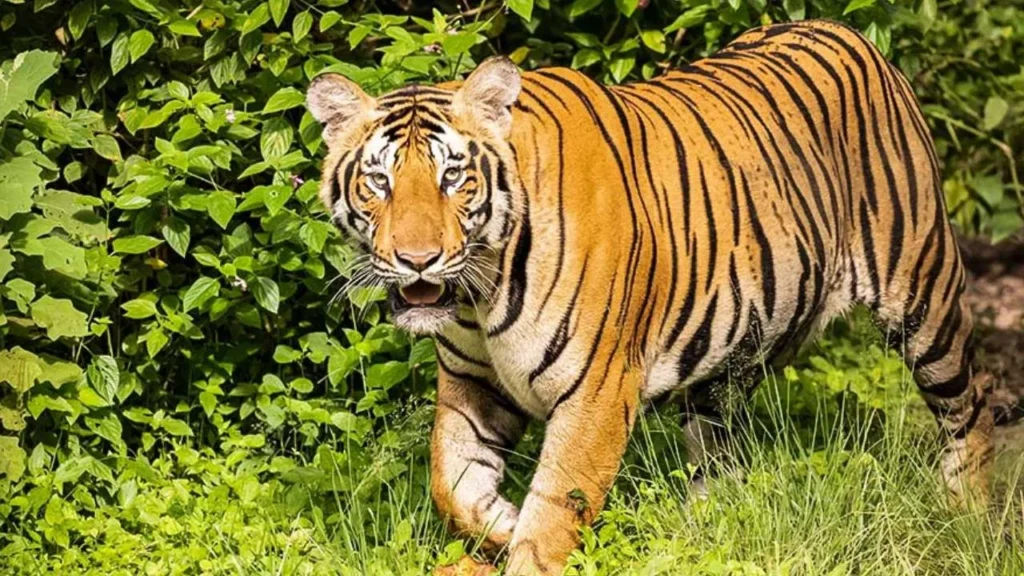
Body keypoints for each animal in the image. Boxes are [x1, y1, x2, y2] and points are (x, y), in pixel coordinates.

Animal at [306, 19, 993, 575]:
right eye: (378, 181)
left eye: (453, 177)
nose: (416, 260)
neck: (482, 289)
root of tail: (845, 30)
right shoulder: (471, 382)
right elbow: (452, 484)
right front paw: (501, 523)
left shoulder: (597, 391)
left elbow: (556, 505)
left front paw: (527, 539)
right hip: (731, 353)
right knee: (715, 450)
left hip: (923, 291)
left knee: (973, 401)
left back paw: (970, 516)